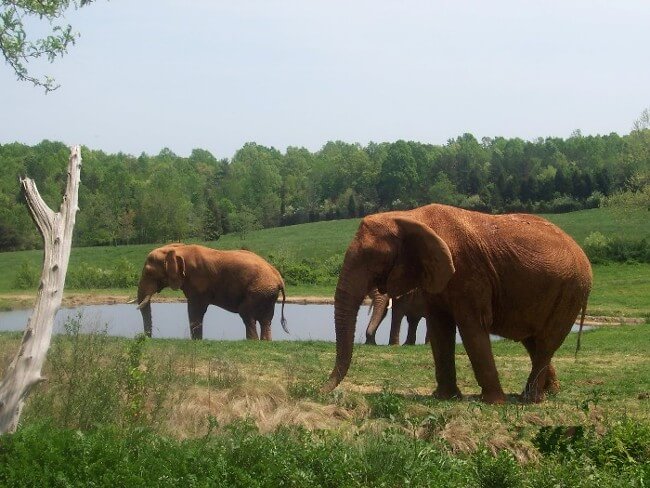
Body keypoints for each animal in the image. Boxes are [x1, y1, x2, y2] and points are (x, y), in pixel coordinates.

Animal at [134, 243, 286, 340]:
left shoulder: (198, 281)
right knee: (266, 319)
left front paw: (196, 341)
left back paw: (252, 342)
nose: (146, 339)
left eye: (149, 273)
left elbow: (195, 310)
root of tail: (279, 278)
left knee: (246, 314)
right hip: (267, 293)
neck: (179, 249)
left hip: (259, 290)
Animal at [322, 203, 588, 404]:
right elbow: (440, 328)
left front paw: (493, 402)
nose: (320, 389)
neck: (410, 215)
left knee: (544, 343)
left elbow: (471, 328)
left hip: (570, 293)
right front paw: (444, 397)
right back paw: (548, 393)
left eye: (372, 257)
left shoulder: (469, 273)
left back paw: (530, 399)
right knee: (533, 342)